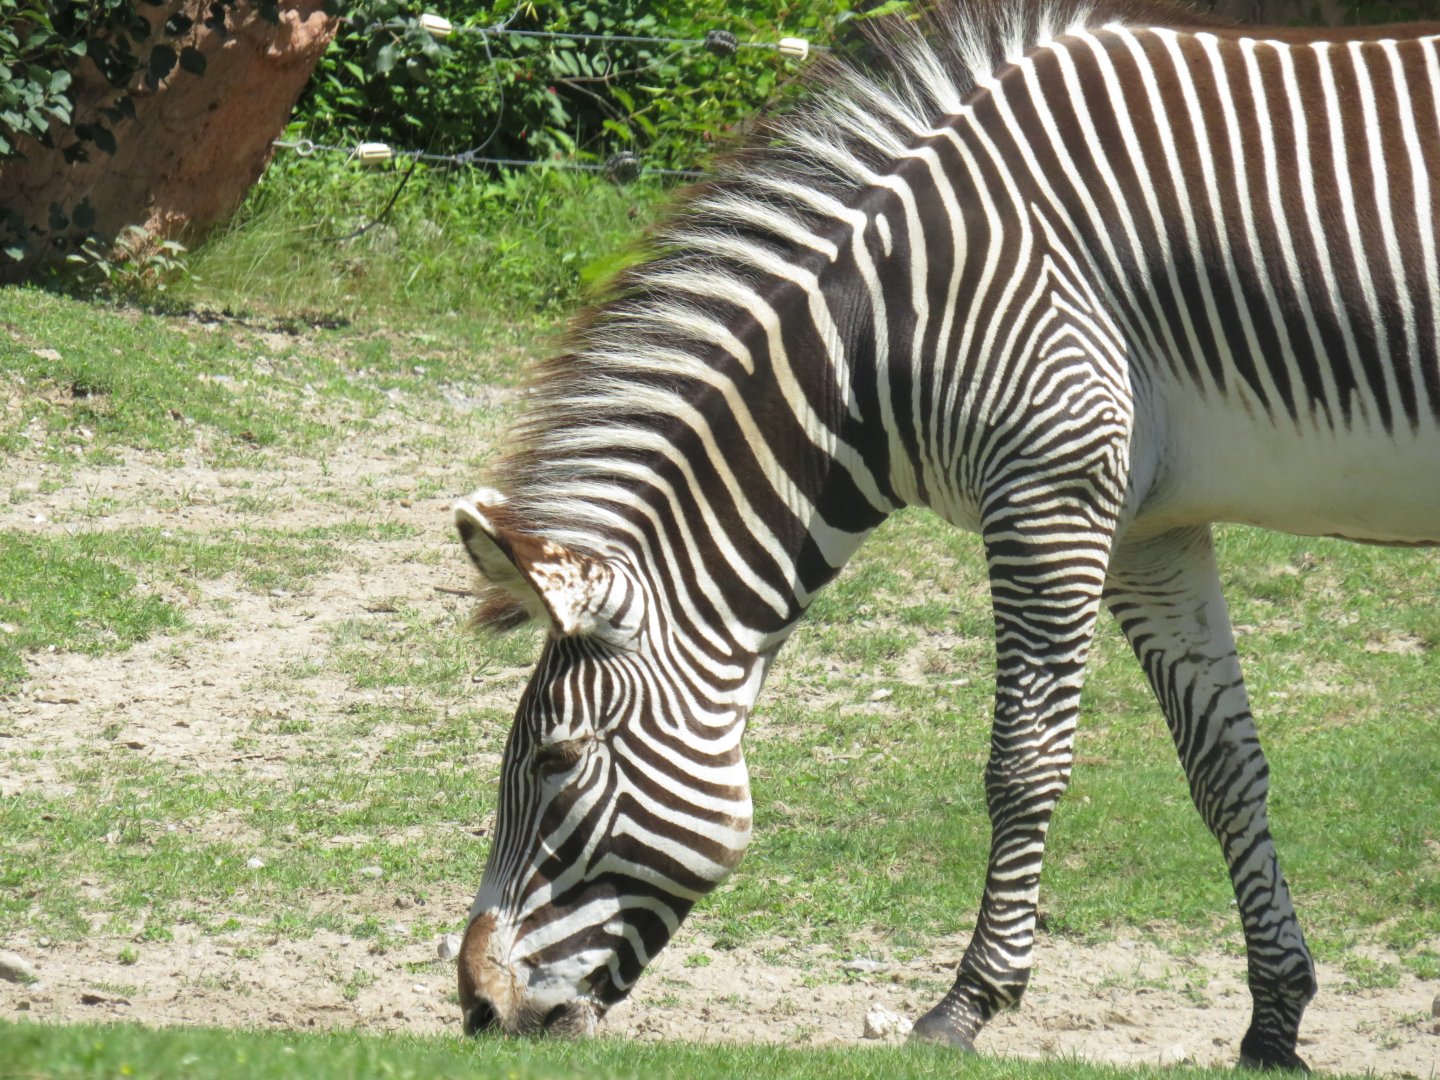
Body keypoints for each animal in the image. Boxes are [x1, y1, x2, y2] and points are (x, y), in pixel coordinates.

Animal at [451, 0, 1440, 1068]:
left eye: (555, 762)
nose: (477, 1009)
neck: (893, 328)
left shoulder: (1052, 490)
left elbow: (1022, 765)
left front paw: (964, 1007)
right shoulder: (1151, 529)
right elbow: (1225, 771)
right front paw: (1274, 1021)